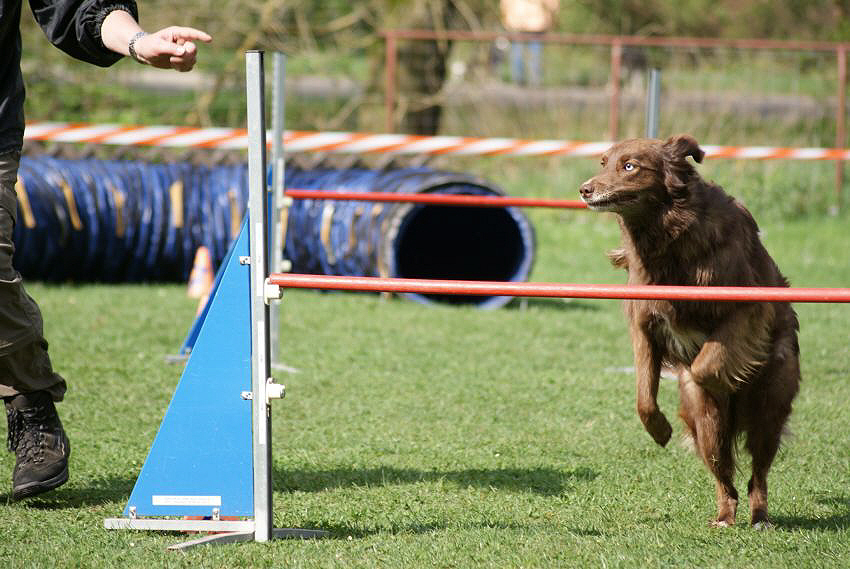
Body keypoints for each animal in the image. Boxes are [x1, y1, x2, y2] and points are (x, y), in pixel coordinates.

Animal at [580, 135, 800, 524]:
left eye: (629, 166)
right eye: (604, 162)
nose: (585, 189)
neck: (668, 234)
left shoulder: (746, 308)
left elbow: (705, 365)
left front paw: (722, 381)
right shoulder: (644, 322)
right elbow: (644, 394)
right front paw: (659, 429)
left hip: (770, 401)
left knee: (758, 471)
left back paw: (760, 516)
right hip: (706, 427)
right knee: (723, 472)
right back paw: (724, 515)